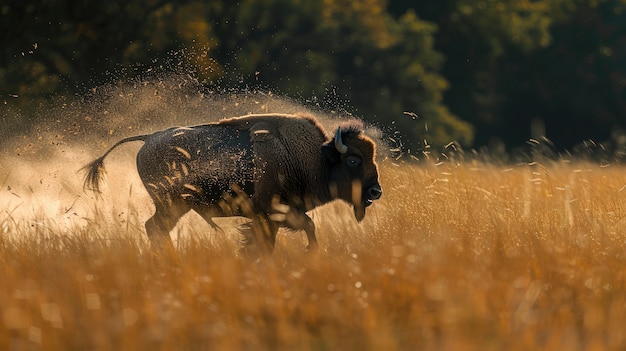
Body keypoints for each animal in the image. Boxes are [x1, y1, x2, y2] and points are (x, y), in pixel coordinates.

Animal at [83, 113, 380, 253]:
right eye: (353, 160)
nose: (376, 191)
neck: (316, 157)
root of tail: (148, 139)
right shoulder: (273, 211)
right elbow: (307, 227)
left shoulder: (269, 217)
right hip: (172, 205)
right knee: (155, 228)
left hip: (173, 206)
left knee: (154, 228)